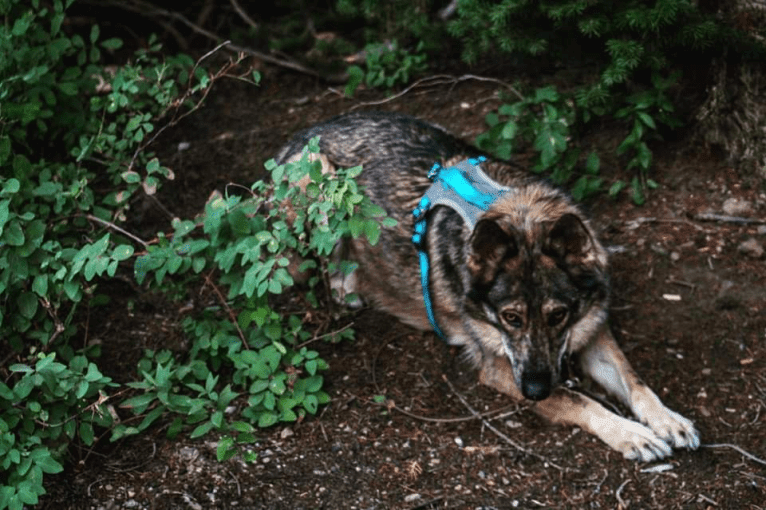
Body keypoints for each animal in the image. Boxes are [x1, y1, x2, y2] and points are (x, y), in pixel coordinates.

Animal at [276, 109, 704, 460]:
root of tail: (302, 134)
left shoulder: (590, 332)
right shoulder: (500, 369)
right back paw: (350, 291)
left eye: (558, 316)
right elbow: (578, 399)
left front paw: (668, 419)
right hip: (322, 187)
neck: (521, 217)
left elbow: (635, 382)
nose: (535, 391)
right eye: (510, 318)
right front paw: (631, 434)